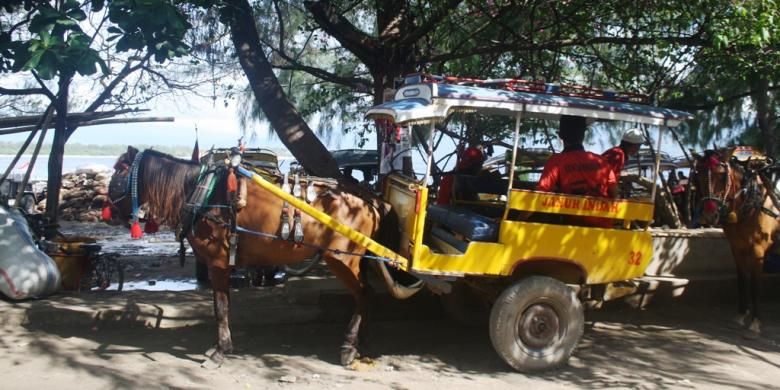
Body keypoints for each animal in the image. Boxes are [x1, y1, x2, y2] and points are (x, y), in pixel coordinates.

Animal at [108, 148, 420, 368]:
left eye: (118, 174)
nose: (107, 211)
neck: (203, 192)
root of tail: (370, 199)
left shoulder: (218, 263)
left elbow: (220, 308)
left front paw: (220, 352)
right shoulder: (221, 265)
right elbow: (221, 306)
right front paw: (221, 347)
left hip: (342, 259)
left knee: (365, 295)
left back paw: (349, 346)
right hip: (355, 259)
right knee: (366, 297)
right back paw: (362, 343)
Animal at [696, 148, 780, 336]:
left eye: (722, 176)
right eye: (699, 175)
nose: (709, 215)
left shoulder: (758, 250)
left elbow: (755, 285)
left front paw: (755, 322)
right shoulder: (737, 248)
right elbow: (742, 280)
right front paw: (741, 315)